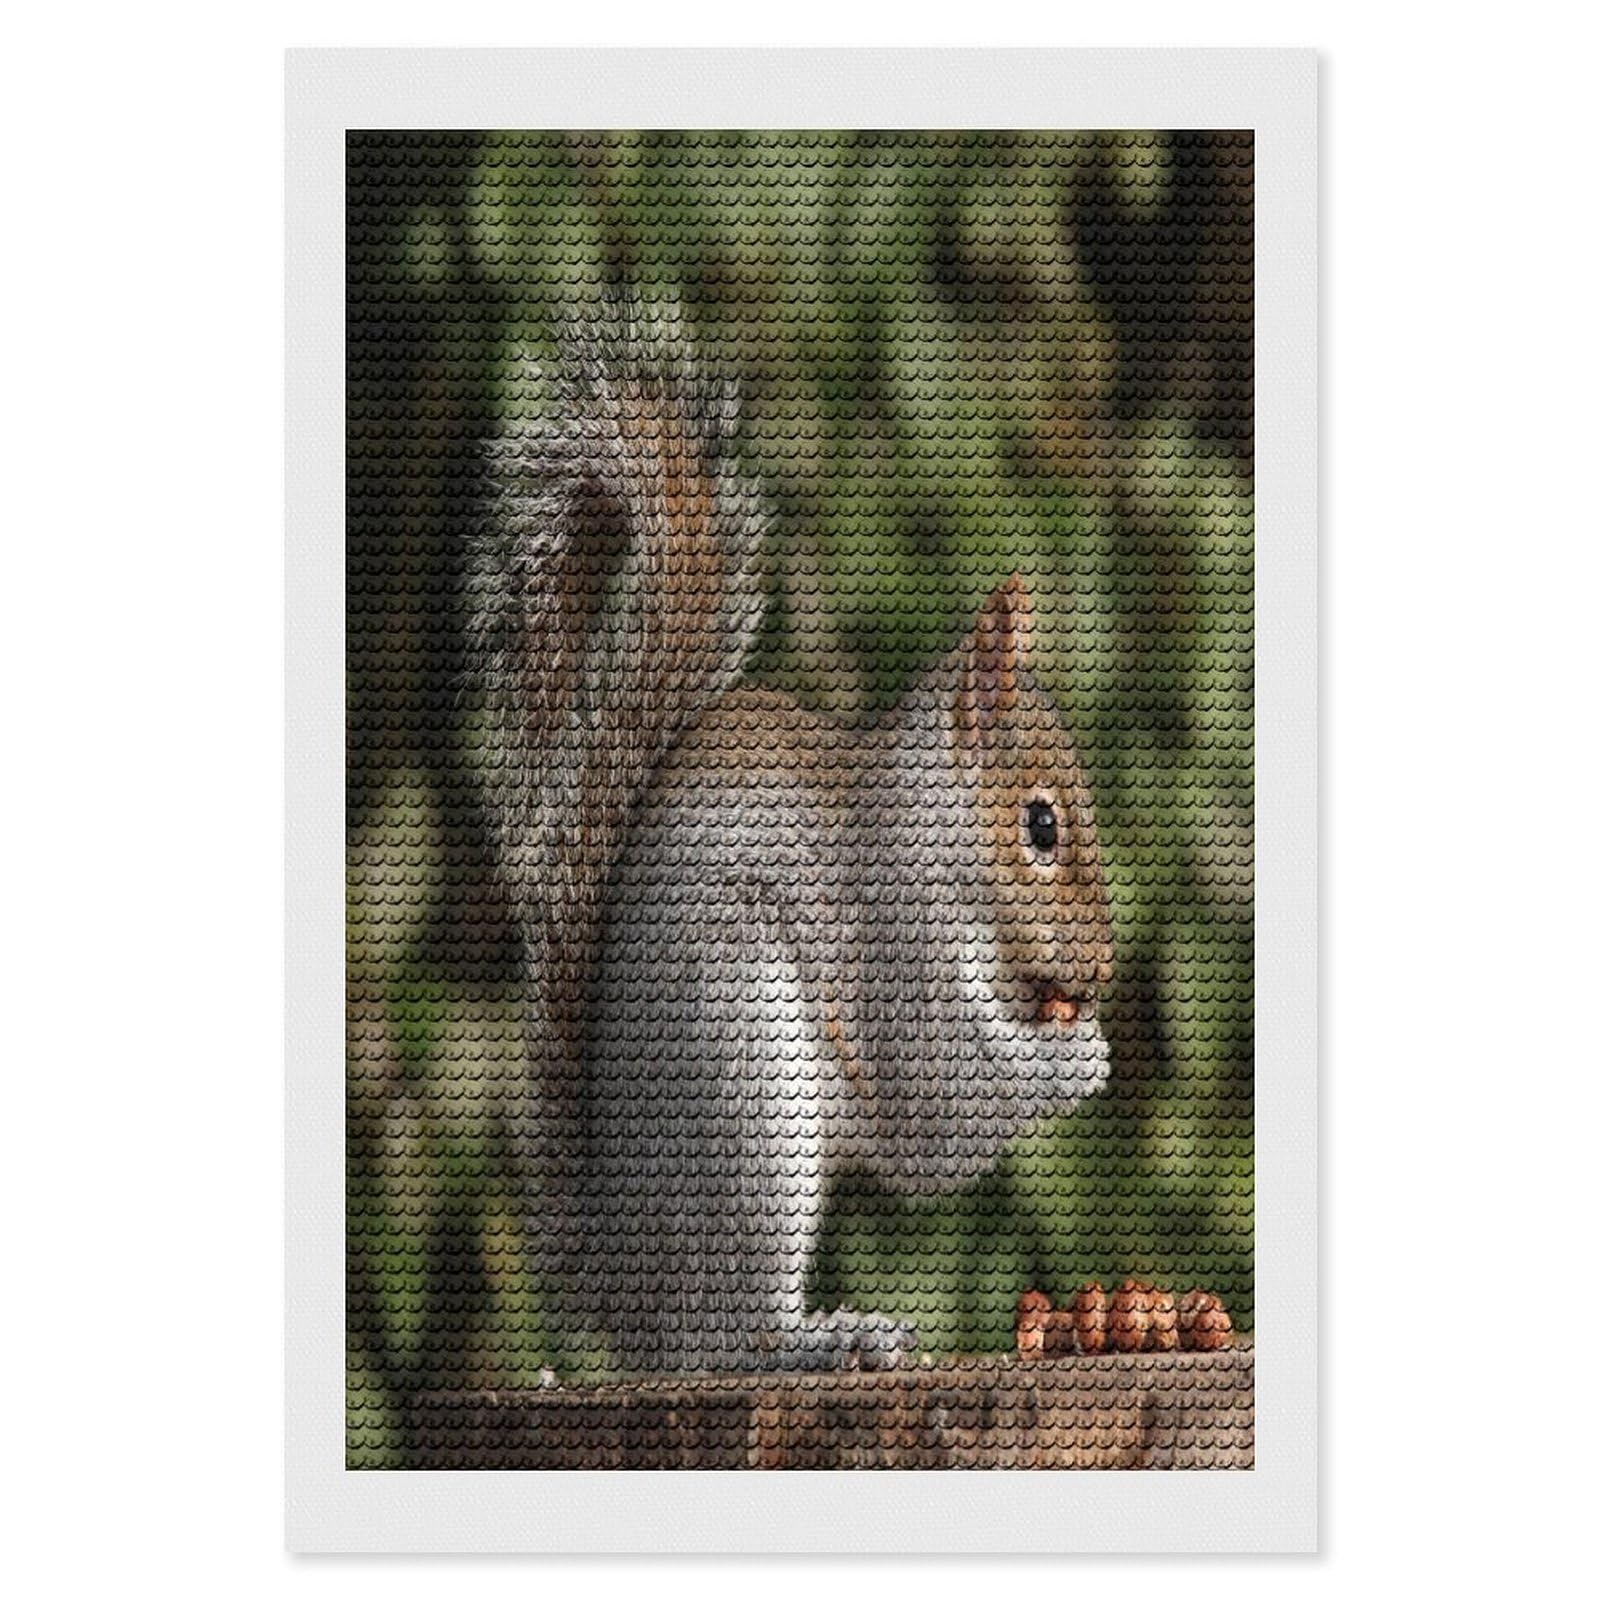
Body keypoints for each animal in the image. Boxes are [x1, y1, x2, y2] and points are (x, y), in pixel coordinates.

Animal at [469, 297, 1115, 1373]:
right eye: (1040, 825)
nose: (1102, 968)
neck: (931, 842)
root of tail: (622, 1282)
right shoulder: (894, 949)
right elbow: (936, 1102)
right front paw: (1080, 1059)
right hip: (750, 1071)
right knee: (729, 1337)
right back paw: (824, 1338)